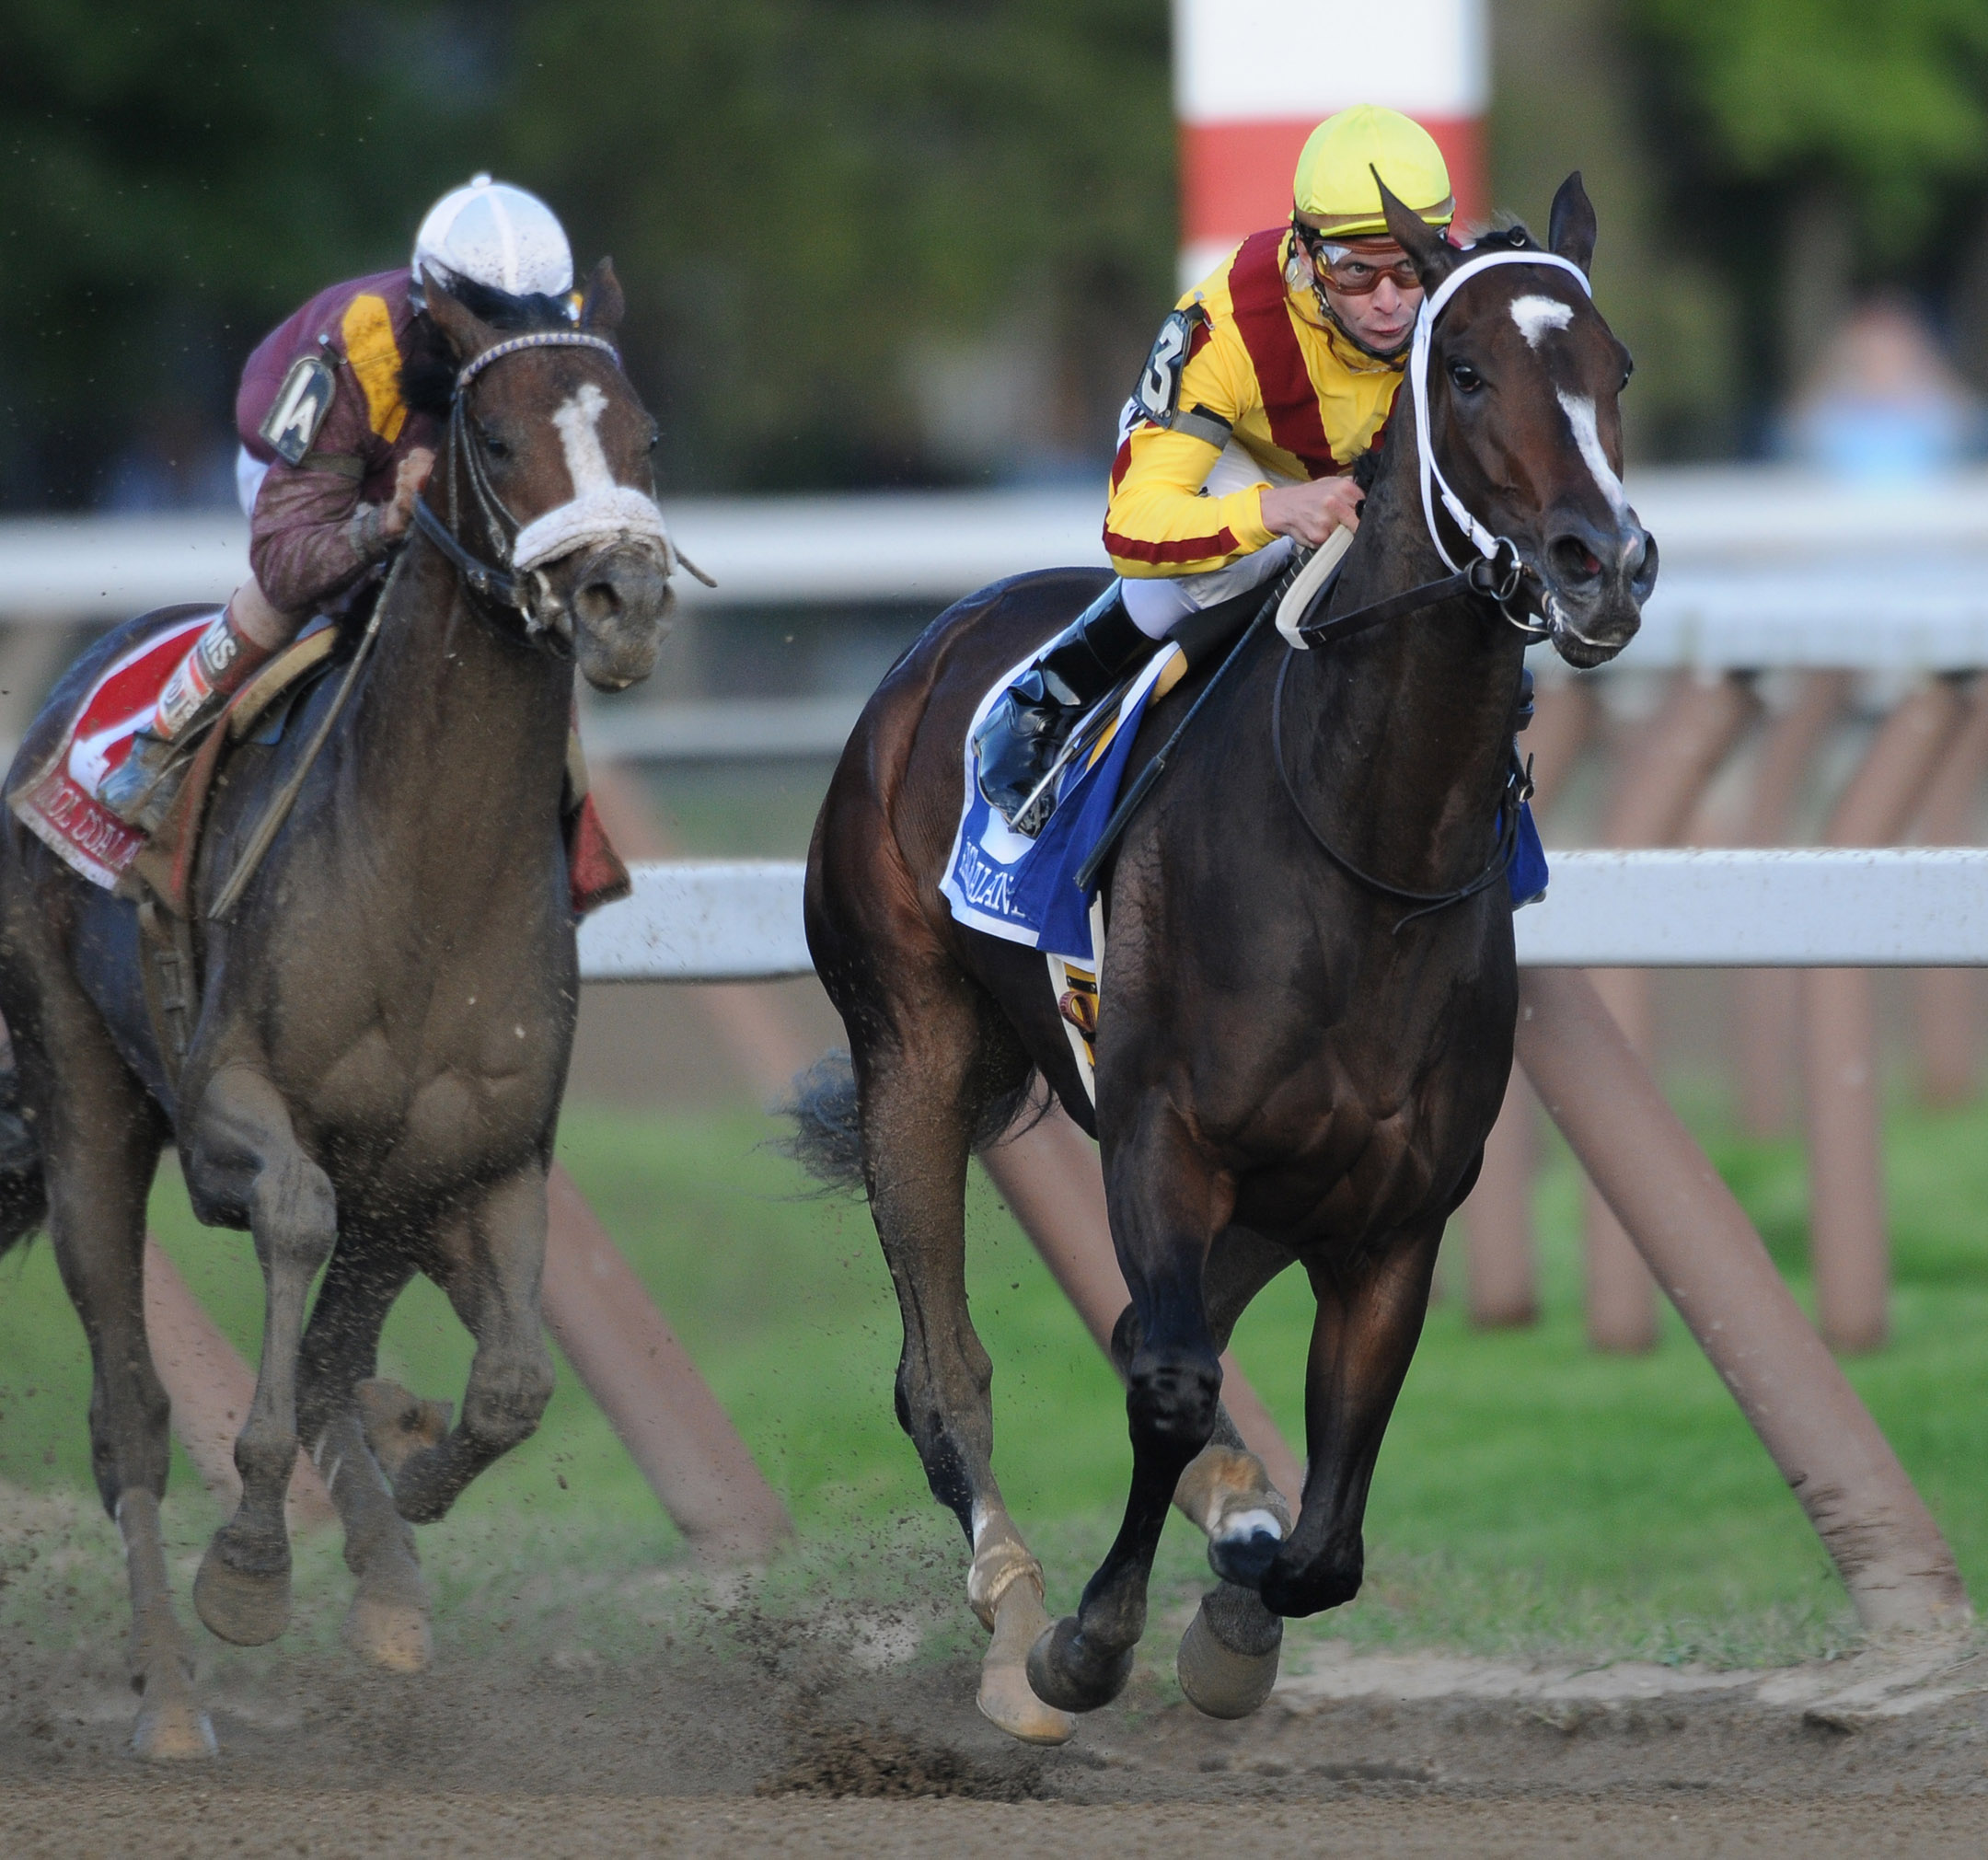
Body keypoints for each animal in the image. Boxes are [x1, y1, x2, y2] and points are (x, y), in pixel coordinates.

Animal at [0, 262, 676, 1756]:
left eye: (646, 434)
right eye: (498, 439)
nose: (624, 596)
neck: (423, 871)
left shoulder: (473, 1159)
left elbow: (500, 1381)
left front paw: (402, 1509)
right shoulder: (232, 1109)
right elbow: (294, 1253)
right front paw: (254, 1559)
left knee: (332, 1359)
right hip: (82, 1100)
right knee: (127, 1411)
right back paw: (170, 1694)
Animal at [799, 178, 1654, 1740]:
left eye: (1613, 367)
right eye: (1465, 371)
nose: (1605, 563)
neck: (1362, 844)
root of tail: (932, 645)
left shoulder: (1397, 1214)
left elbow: (1328, 1538)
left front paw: (1240, 1607)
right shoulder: (1163, 1140)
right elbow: (1171, 1387)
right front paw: (1090, 1643)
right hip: (911, 1046)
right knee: (945, 1374)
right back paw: (1014, 1606)